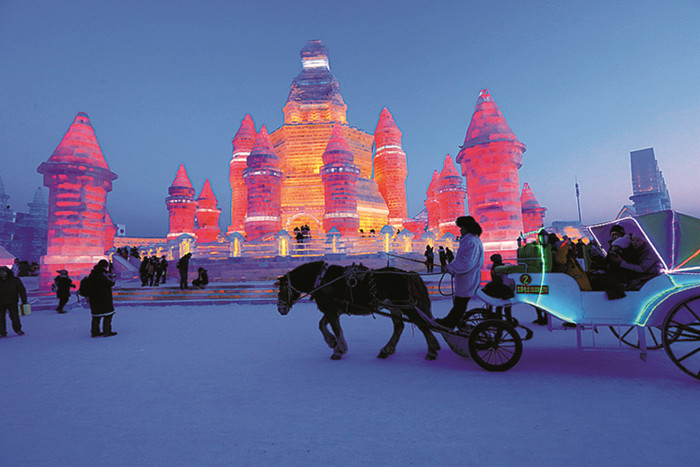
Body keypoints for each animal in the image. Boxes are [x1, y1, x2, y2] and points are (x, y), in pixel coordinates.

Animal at [276, 262, 440, 360]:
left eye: (282, 289)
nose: (280, 309)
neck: (321, 280)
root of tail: (407, 274)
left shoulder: (332, 311)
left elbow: (337, 330)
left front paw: (338, 349)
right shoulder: (333, 310)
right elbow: (322, 325)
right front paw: (332, 342)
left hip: (406, 305)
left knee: (421, 325)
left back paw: (432, 350)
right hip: (395, 306)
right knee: (399, 326)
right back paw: (387, 350)